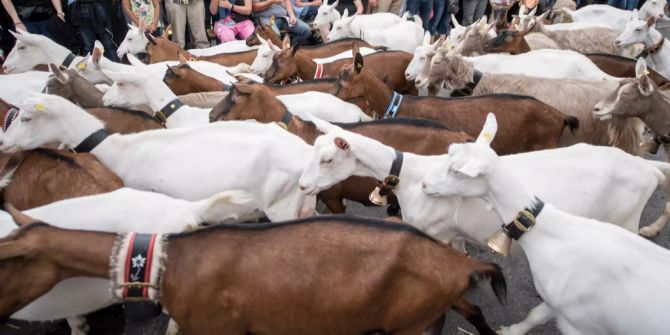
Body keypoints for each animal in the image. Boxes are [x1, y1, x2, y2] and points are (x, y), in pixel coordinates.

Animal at [0, 94, 318, 222]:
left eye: (26, 118)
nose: (3, 142)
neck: (117, 149)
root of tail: (304, 155)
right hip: (302, 203)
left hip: (280, 208)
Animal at [422, 113, 670, 335]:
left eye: (455, 171)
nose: (425, 184)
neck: (552, 232)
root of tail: (646, 168)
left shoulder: (577, 322)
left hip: (628, 220)